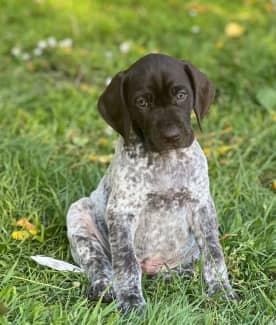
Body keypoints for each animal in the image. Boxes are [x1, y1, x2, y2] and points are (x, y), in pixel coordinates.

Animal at [66, 53, 236, 312]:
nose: (172, 136)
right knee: (99, 263)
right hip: (78, 217)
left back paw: (181, 276)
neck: (164, 160)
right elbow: (126, 263)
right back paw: (104, 287)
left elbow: (214, 254)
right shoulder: (121, 213)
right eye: (142, 102)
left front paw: (220, 291)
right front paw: (131, 301)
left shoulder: (202, 207)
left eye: (181, 95)